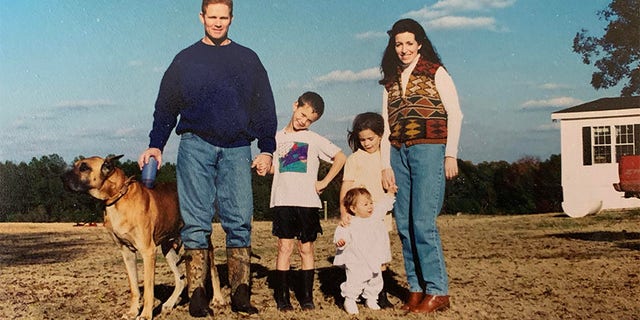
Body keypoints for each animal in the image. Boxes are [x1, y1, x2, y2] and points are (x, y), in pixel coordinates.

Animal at [62, 154, 222, 318]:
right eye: (76, 165)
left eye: (84, 167)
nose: (62, 177)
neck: (118, 197)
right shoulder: (127, 252)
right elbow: (134, 288)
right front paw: (132, 312)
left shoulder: (148, 252)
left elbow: (148, 290)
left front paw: (145, 314)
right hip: (167, 248)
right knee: (181, 279)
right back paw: (170, 303)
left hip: (204, 242)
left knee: (213, 270)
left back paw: (217, 298)